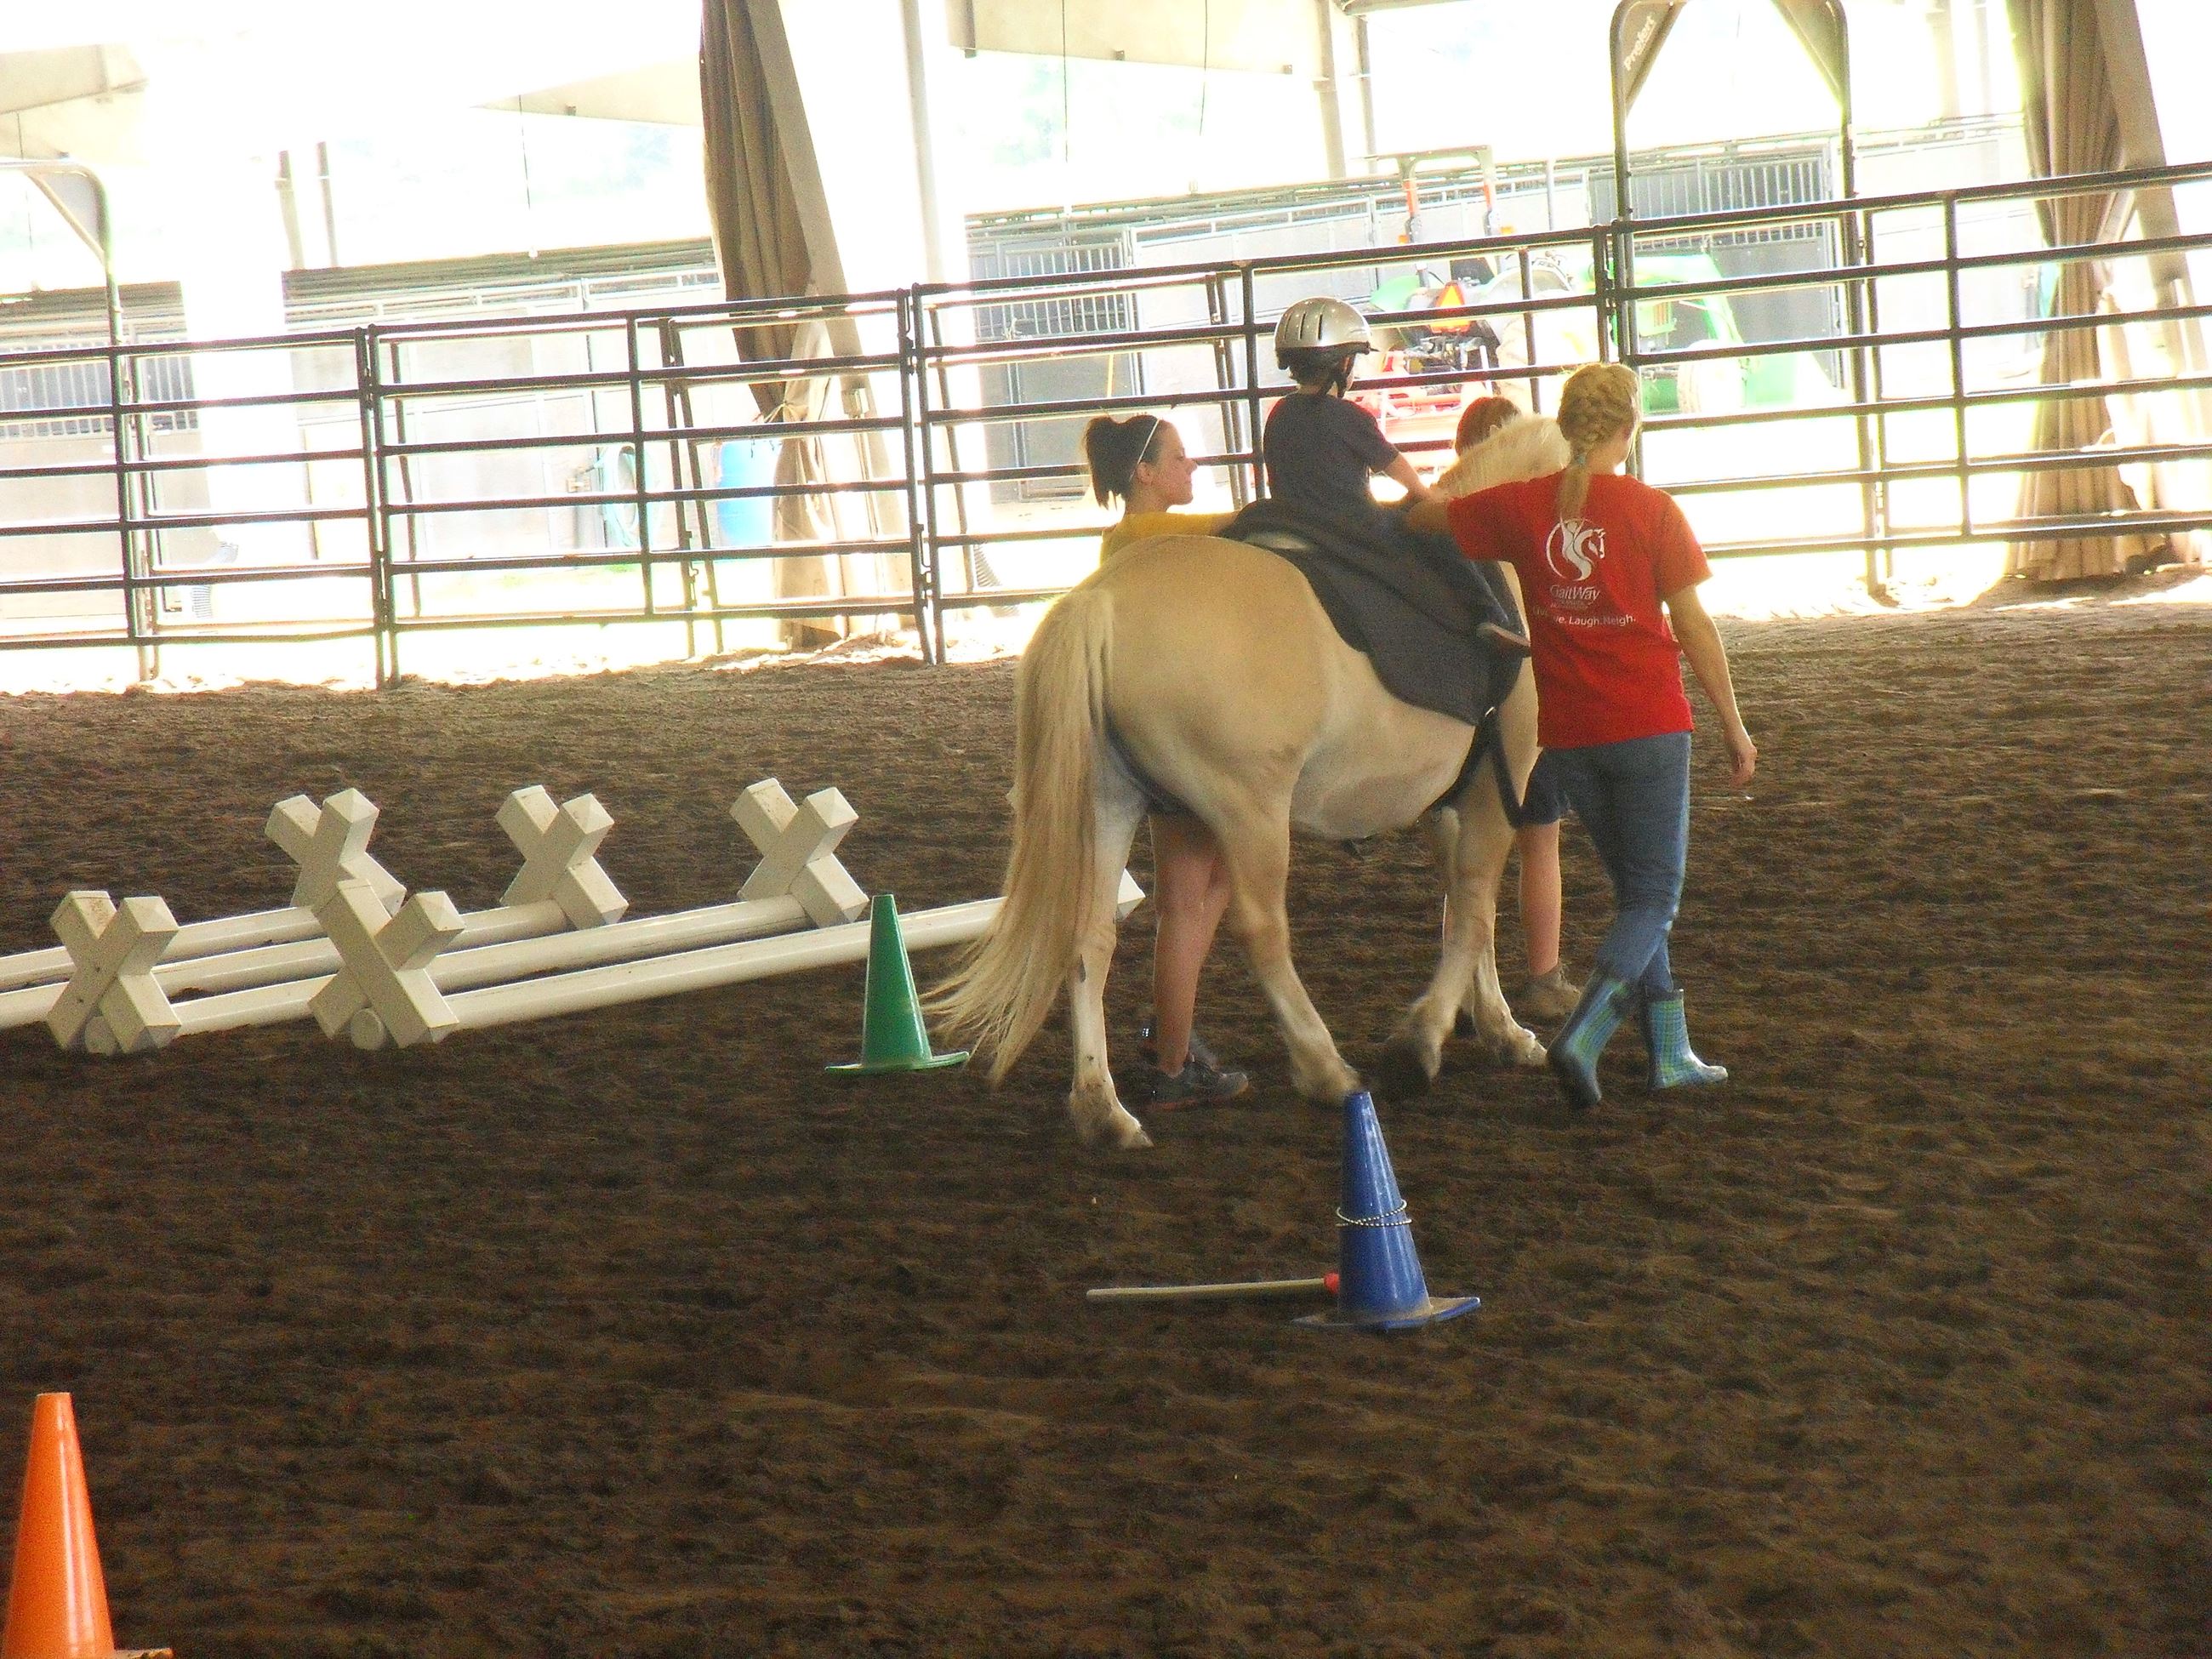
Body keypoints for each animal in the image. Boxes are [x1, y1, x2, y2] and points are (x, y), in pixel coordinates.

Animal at [930, 414, 1573, 1149]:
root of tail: (1101, 602)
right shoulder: (1500, 781)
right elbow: (1473, 905)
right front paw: (1421, 1044)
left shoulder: (1446, 801)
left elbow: (1466, 912)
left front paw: (1498, 1028)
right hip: (1251, 814)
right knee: (1261, 929)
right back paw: (1326, 1069)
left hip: (1107, 804)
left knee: (1090, 936)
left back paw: (1103, 1107)